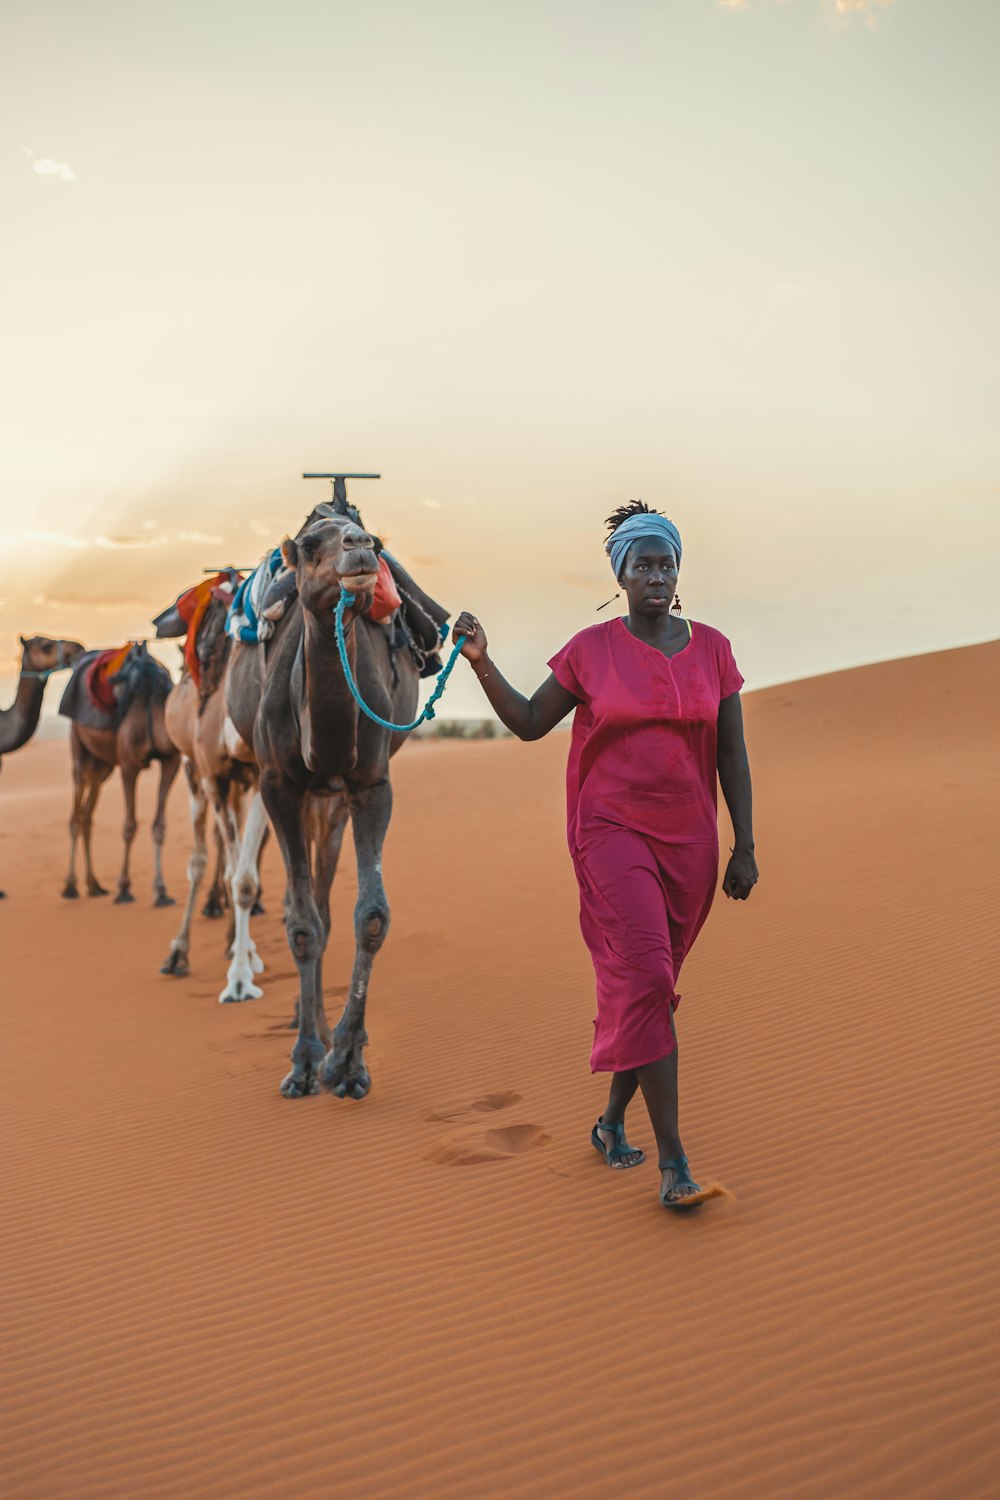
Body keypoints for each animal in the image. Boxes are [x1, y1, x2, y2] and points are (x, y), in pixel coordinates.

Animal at [58, 642, 182, 900]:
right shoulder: (129, 765)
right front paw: (124, 887)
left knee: (86, 818)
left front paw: (161, 890)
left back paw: (94, 885)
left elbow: (159, 825)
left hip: (102, 767)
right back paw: (71, 887)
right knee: (75, 817)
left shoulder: (171, 761)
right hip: (79, 754)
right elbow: (129, 826)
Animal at [154, 579, 268, 1002]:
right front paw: (239, 969)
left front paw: (242, 969)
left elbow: (245, 878)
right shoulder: (210, 775)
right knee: (201, 860)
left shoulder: (259, 774)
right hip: (194, 773)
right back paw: (179, 954)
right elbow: (228, 869)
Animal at [224, 498, 446, 1098]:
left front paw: (345, 1062)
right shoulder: (278, 783)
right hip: (306, 796)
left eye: (374, 541)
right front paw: (304, 1062)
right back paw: (310, 1031)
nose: (360, 547)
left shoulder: (370, 783)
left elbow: (369, 915)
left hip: (332, 802)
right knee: (307, 910)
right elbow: (301, 924)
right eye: (308, 547)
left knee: (324, 901)